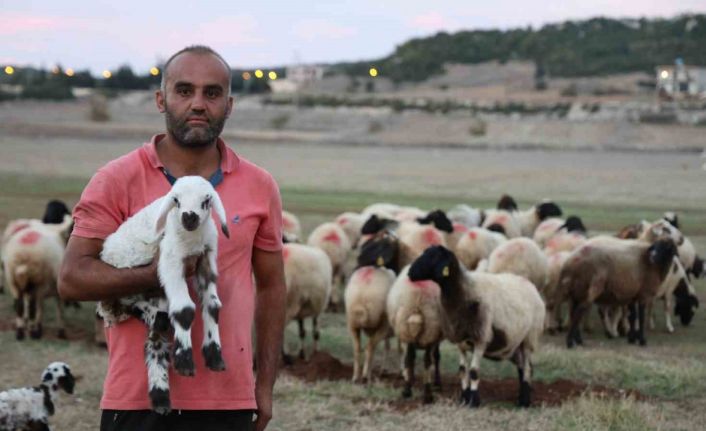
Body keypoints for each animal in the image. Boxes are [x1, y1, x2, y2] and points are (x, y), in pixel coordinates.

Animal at [95, 176, 228, 416]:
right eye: (176, 200)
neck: (192, 238)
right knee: (129, 303)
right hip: (123, 278)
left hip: (154, 294)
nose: (189, 217)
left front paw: (214, 355)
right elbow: (184, 310)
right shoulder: (171, 260)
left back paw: (160, 396)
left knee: (154, 340)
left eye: (206, 200)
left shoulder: (206, 258)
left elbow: (213, 305)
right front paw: (184, 362)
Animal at [408, 246, 544, 408]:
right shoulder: (460, 340)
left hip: (529, 337)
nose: (409, 273)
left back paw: (524, 401)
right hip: (515, 342)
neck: (465, 290)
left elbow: (473, 372)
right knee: (523, 367)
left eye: (434, 257)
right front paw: (464, 399)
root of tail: (530, 285)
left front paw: (474, 400)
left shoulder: (481, 338)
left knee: (528, 368)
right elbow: (462, 370)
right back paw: (521, 396)